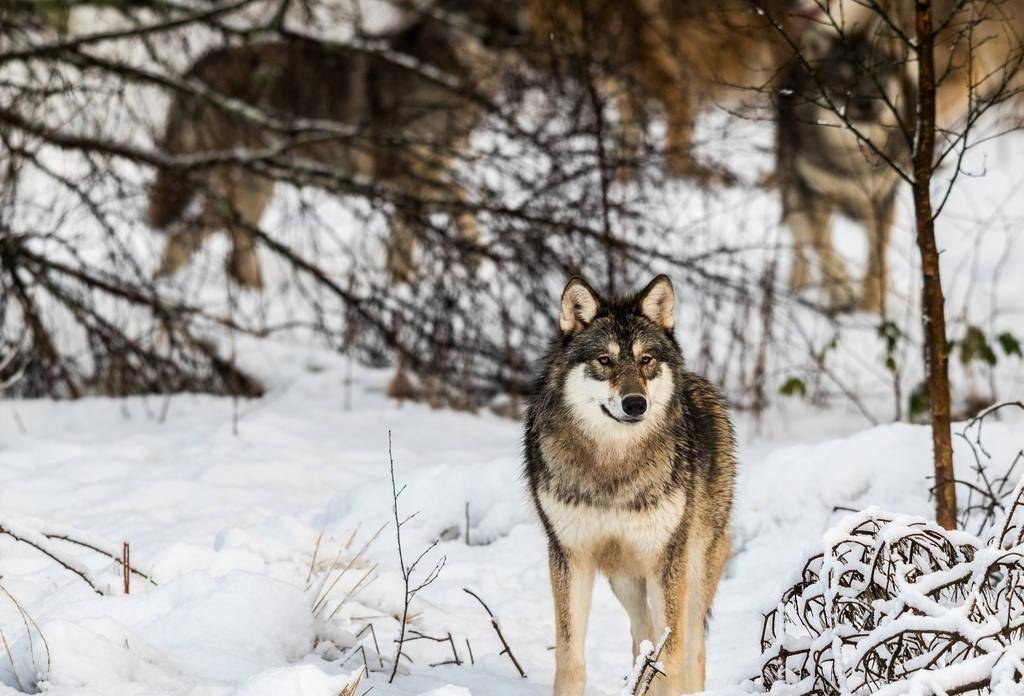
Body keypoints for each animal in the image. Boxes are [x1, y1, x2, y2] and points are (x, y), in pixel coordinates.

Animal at [148, 0, 524, 284]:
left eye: (513, 3)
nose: (518, 34)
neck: (447, 77)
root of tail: (196, 66)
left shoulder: (409, 185)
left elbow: (402, 250)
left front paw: (403, 292)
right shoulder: (396, 174)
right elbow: (464, 195)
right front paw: (476, 253)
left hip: (254, 188)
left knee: (193, 238)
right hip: (247, 187)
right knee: (218, 242)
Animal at [524, 274, 733, 691]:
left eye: (645, 360)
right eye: (605, 361)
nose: (636, 404)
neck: (614, 468)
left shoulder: (667, 560)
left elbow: (672, 661)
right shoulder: (570, 556)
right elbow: (570, 659)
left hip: (691, 567)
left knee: (692, 649)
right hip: (624, 577)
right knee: (643, 636)